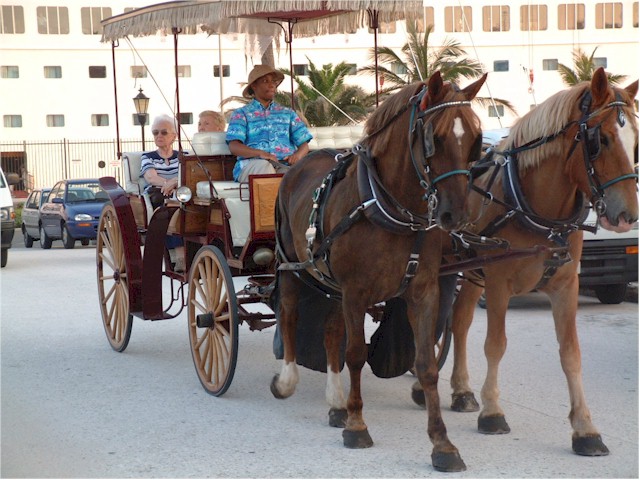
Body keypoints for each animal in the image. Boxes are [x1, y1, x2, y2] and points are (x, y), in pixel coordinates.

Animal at [271, 71, 487, 472]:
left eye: (476, 140)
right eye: (434, 138)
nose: (457, 215)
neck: (392, 207)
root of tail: (299, 165)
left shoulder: (423, 290)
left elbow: (425, 364)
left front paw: (442, 444)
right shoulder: (356, 291)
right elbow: (356, 354)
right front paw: (358, 426)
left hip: (331, 284)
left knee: (330, 333)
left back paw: (336, 402)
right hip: (292, 266)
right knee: (290, 315)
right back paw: (288, 380)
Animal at [438, 67, 637, 457]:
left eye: (635, 140)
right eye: (601, 139)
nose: (627, 217)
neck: (537, 207)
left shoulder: (566, 285)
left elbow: (571, 353)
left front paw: (585, 428)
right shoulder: (498, 283)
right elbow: (496, 344)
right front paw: (493, 411)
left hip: (471, 274)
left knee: (460, 322)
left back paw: (462, 390)